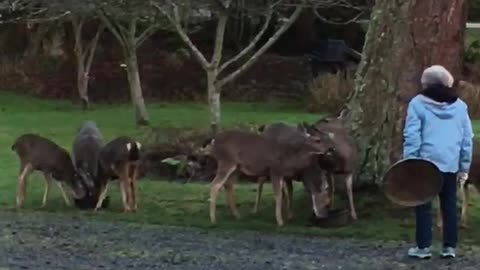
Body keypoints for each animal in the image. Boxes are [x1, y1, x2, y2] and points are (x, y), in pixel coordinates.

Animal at [208, 129, 336, 226]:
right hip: (226, 161)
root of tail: (214, 142)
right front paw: (280, 221)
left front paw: (285, 217)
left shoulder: (282, 175)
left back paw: (237, 215)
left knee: (228, 185)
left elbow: (285, 193)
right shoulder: (275, 170)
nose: (331, 148)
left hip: (237, 167)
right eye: (318, 140)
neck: (288, 158)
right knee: (215, 185)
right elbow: (278, 195)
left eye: (328, 138)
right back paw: (213, 219)